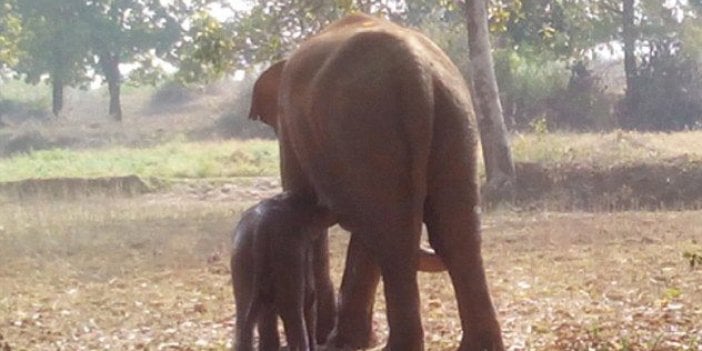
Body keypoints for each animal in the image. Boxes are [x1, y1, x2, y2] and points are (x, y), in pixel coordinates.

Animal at [231, 192, 336, 351]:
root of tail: (262, 226)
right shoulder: (300, 246)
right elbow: (309, 297)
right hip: (286, 254)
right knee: (294, 311)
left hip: (241, 255)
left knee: (245, 315)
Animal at [250, 13, 504, 351]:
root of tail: (415, 71)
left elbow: (308, 214)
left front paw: (330, 338)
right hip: (455, 119)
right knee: (453, 233)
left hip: (366, 125)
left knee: (395, 237)